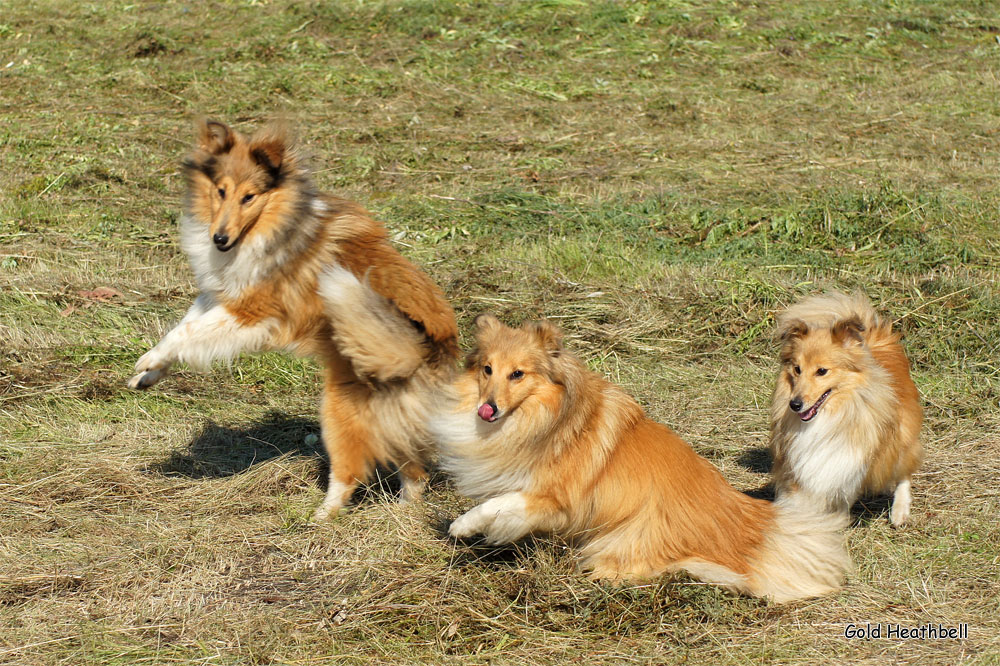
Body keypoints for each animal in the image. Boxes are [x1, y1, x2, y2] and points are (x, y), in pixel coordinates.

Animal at [127, 119, 458, 516]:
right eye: (221, 191)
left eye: (249, 197)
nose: (219, 239)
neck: (275, 223)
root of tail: (425, 348)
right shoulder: (218, 295)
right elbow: (185, 327)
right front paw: (148, 375)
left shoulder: (252, 311)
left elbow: (187, 332)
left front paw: (148, 360)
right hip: (397, 421)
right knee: (415, 471)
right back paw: (404, 513)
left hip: (340, 413)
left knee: (349, 473)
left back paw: (320, 517)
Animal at [768, 290, 924, 524]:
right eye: (797, 369)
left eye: (822, 371)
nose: (794, 405)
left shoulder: (849, 460)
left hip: (902, 434)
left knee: (904, 469)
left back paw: (899, 512)